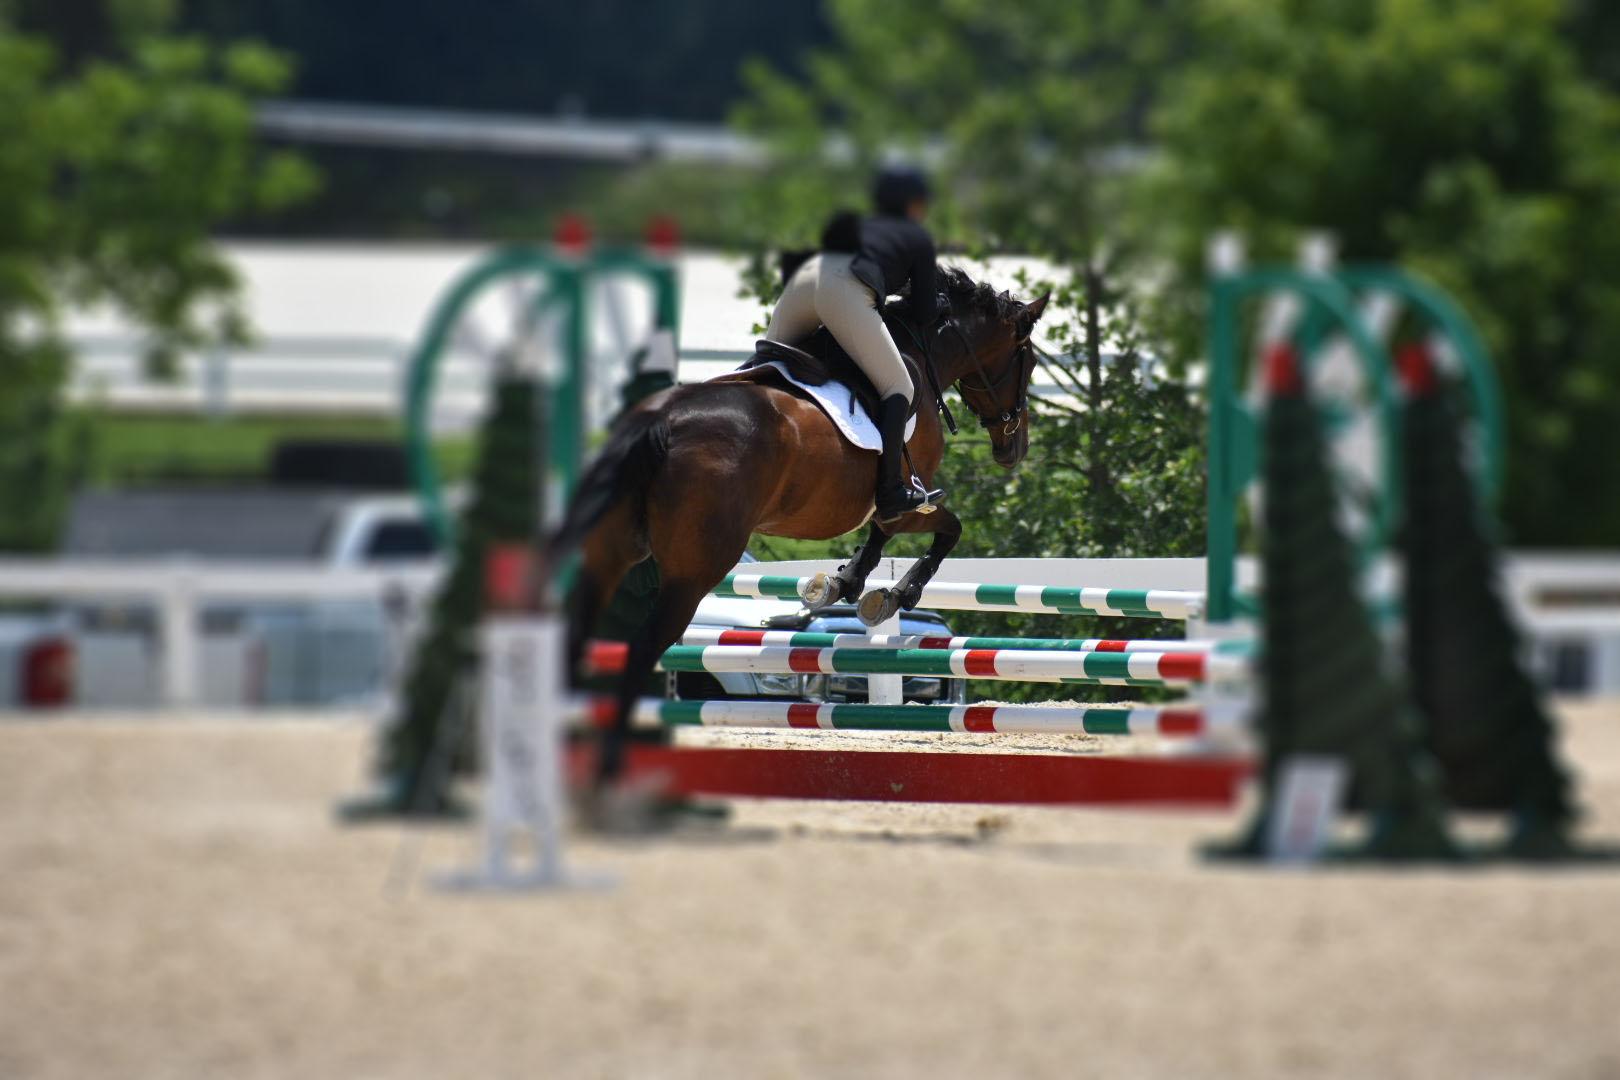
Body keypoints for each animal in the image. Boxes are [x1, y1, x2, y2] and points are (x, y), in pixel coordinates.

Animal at [551, 266, 1049, 778]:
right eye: (1027, 362)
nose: (1015, 449)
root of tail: (662, 419)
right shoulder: (909, 501)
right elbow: (941, 529)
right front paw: (891, 595)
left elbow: (887, 539)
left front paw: (846, 586)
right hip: (693, 573)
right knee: (642, 647)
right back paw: (610, 764)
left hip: (611, 555)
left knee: (575, 639)